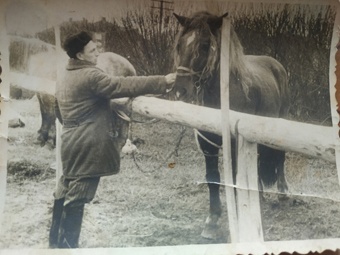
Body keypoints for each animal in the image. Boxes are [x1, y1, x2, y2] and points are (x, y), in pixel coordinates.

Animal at [173, 11, 290, 239]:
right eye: (179, 44)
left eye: (205, 45)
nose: (179, 91)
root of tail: (277, 65)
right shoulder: (208, 145)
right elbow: (212, 178)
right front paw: (212, 221)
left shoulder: (236, 143)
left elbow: (236, 180)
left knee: (279, 156)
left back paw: (283, 192)